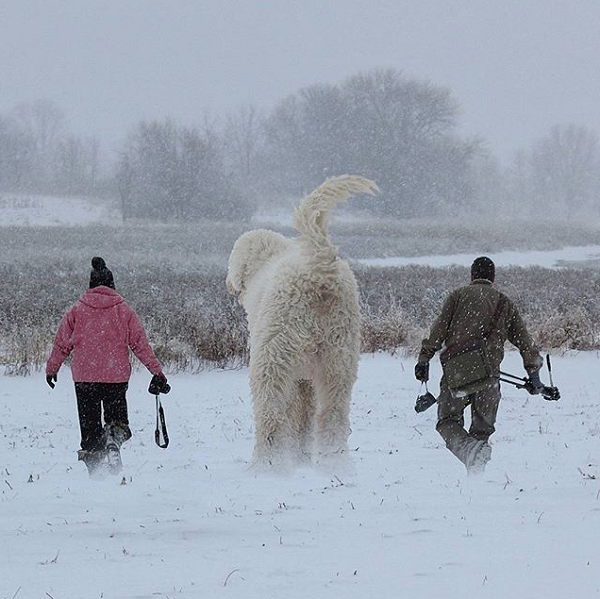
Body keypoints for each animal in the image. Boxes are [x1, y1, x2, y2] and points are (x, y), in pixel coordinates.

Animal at [227, 173, 378, 468]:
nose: (230, 284)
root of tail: (321, 269)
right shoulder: (305, 378)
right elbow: (303, 413)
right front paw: (300, 458)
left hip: (275, 352)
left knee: (271, 411)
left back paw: (264, 465)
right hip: (339, 357)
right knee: (333, 413)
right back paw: (334, 462)